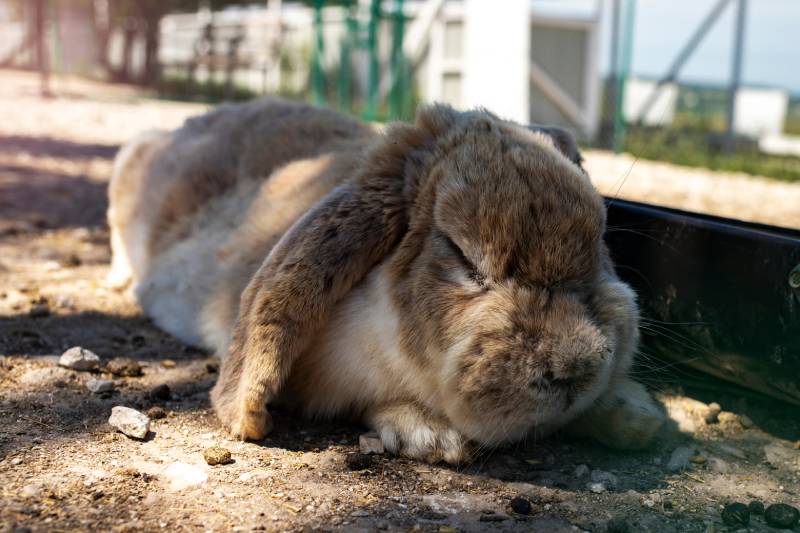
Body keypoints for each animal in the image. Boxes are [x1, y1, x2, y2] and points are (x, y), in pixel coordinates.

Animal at [109, 95, 664, 462]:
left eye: (600, 236)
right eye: (462, 254)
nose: (575, 366)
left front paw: (639, 418)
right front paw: (433, 438)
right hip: (127, 168)